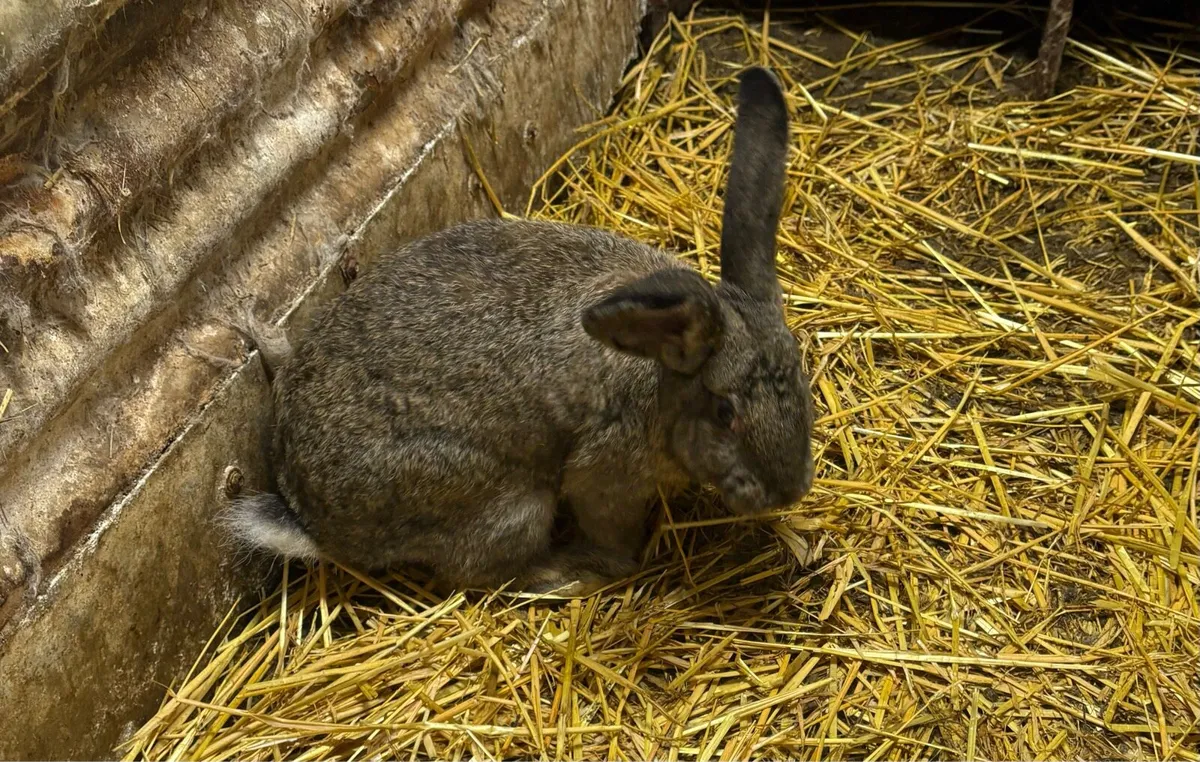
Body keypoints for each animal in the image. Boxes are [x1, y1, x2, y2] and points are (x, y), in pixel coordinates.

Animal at [225, 66, 814, 595]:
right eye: (726, 413)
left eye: (803, 379)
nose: (790, 490)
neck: (662, 373)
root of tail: (315, 522)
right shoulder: (608, 473)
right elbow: (610, 528)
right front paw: (610, 564)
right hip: (513, 505)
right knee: (478, 572)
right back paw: (557, 575)